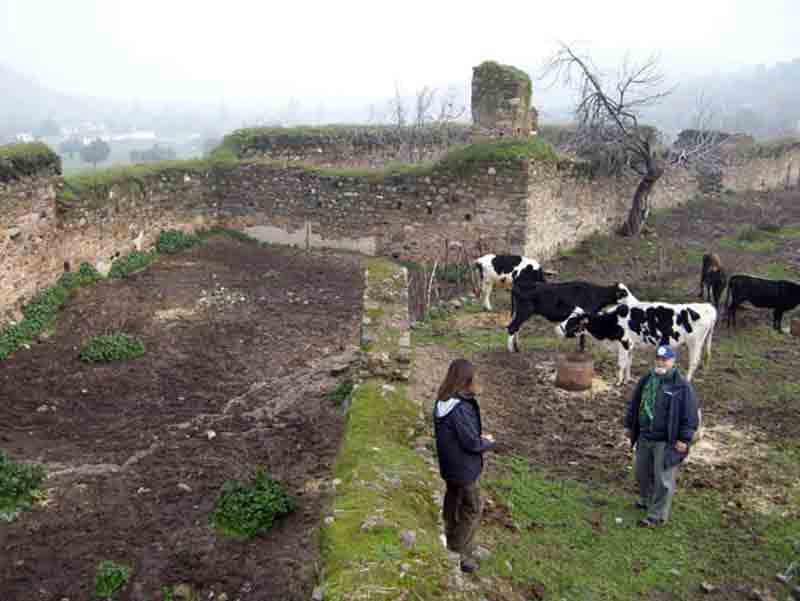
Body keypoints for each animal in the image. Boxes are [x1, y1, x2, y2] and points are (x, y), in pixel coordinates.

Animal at [556, 286, 720, 384]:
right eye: (569, 316)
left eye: (573, 320)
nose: (558, 328)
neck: (613, 319)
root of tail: (708, 306)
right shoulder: (631, 345)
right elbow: (629, 362)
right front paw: (627, 380)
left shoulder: (624, 342)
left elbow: (621, 364)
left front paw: (618, 381)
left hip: (695, 343)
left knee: (693, 363)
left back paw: (687, 380)